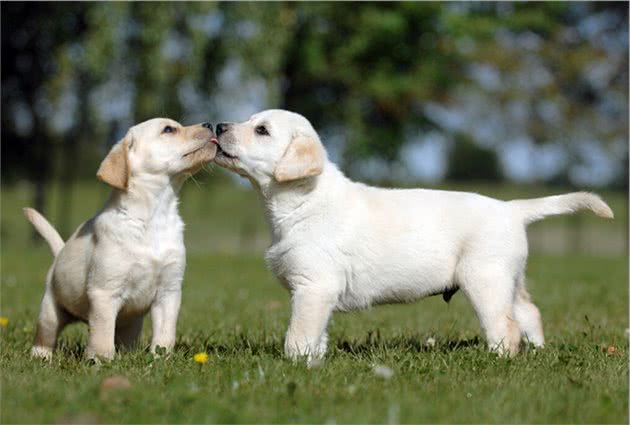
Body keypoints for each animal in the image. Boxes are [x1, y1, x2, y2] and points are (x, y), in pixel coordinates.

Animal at [23, 117, 217, 360]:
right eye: (168, 129)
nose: (210, 124)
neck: (155, 215)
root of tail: (59, 254)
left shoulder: (169, 292)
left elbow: (165, 334)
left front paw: (160, 358)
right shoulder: (104, 293)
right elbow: (103, 335)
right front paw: (101, 360)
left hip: (131, 323)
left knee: (126, 338)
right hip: (50, 309)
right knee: (46, 336)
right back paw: (42, 357)